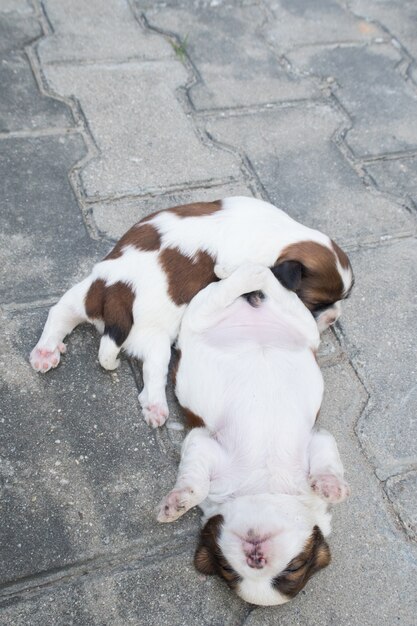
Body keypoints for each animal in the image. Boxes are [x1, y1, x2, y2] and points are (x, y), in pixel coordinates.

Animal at [29, 197, 352, 426]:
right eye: (315, 304)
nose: (334, 316)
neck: (279, 234)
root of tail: (117, 295)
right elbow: (239, 273)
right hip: (157, 342)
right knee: (154, 378)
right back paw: (156, 408)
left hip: (84, 294)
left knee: (58, 314)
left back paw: (45, 351)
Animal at [156, 260, 348, 604]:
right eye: (228, 569)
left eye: (293, 567)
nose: (255, 557)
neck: (264, 486)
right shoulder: (202, 443)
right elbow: (195, 487)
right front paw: (175, 504)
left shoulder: (318, 439)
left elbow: (327, 463)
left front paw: (330, 487)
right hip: (200, 315)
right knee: (248, 281)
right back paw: (239, 269)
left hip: (302, 326)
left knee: (271, 286)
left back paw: (247, 271)